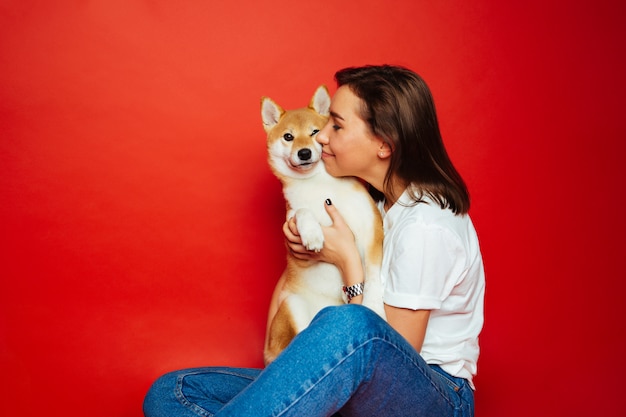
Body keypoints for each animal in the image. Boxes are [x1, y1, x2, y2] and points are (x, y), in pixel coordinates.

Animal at [258, 86, 386, 362]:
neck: (319, 185)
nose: (304, 152)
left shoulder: (372, 230)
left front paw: (374, 307)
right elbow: (304, 212)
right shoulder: (293, 224)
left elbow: (372, 277)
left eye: (315, 132)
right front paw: (313, 234)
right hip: (293, 305)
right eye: (288, 137)